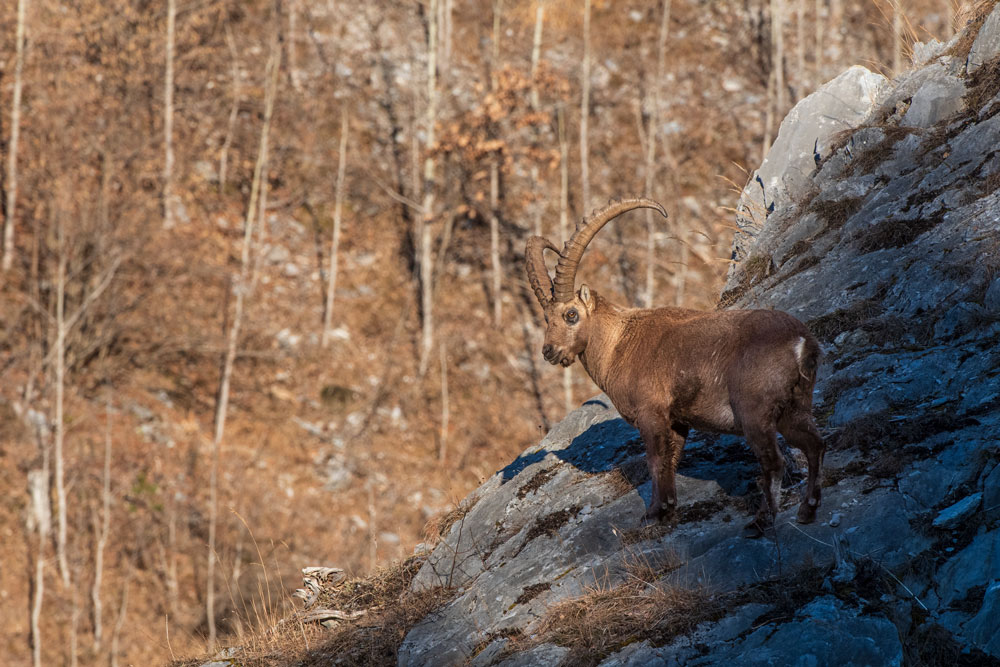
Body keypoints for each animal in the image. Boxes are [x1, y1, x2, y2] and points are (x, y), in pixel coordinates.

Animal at [525, 198, 824, 536]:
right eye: (546, 318)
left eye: (571, 314)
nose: (549, 351)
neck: (619, 344)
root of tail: (801, 342)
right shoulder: (678, 421)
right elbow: (672, 460)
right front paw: (668, 511)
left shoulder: (650, 413)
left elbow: (656, 460)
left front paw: (653, 514)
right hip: (795, 407)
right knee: (815, 445)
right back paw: (807, 510)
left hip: (755, 413)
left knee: (774, 462)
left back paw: (761, 521)